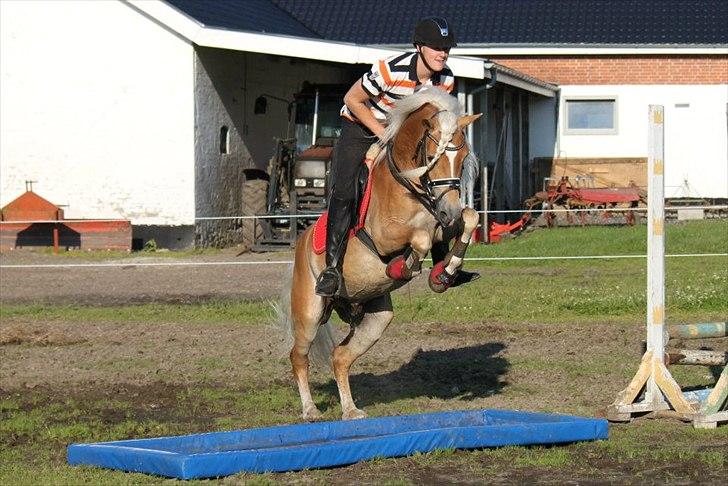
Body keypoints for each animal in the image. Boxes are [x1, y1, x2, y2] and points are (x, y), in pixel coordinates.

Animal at [282, 88, 480, 422]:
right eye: (432, 157)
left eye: (463, 159)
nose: (448, 211)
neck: (408, 185)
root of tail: (302, 239)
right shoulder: (386, 236)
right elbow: (420, 239)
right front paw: (402, 268)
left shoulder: (445, 223)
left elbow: (470, 218)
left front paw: (446, 273)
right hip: (309, 311)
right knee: (299, 355)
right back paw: (310, 410)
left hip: (377, 318)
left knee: (340, 357)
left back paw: (350, 410)